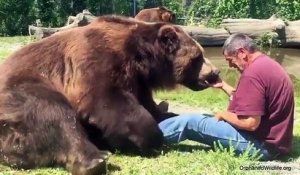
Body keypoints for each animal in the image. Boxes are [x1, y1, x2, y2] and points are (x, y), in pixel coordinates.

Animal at [0, 15, 220, 174]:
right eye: (198, 56)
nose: (215, 72)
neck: (141, 58)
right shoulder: (95, 59)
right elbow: (105, 101)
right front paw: (152, 137)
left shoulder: (138, 80)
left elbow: (149, 105)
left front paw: (169, 115)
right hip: (21, 91)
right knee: (53, 111)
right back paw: (95, 159)